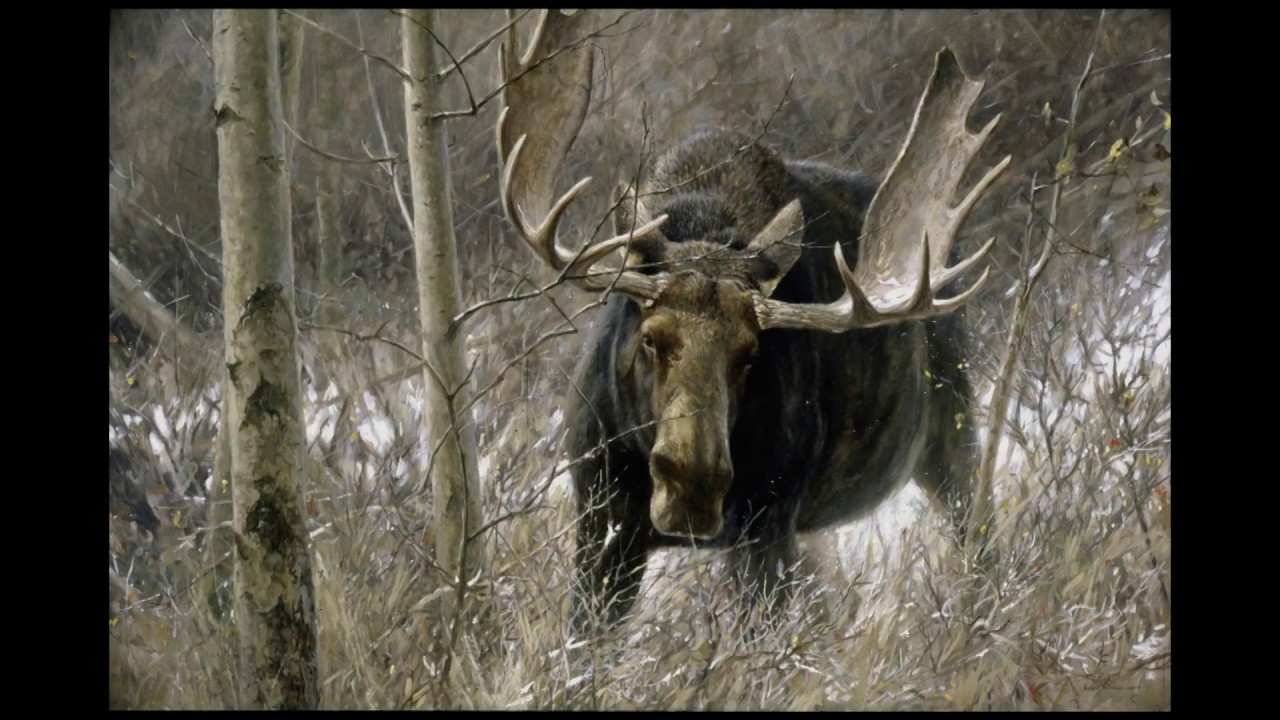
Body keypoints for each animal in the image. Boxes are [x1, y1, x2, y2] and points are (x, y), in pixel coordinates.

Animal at [494, 11, 1010, 634]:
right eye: (651, 338)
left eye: (750, 354)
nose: (693, 487)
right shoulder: (601, 520)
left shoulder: (766, 522)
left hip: (951, 429)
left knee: (979, 534)